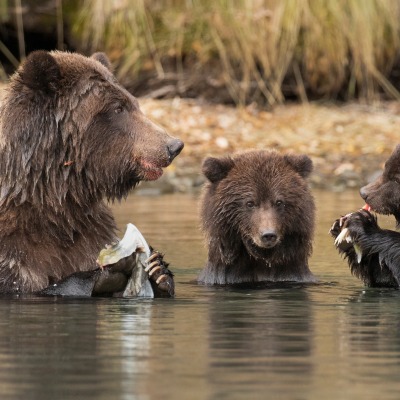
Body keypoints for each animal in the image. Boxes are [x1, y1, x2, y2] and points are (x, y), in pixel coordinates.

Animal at [0, 49, 184, 294]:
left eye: (134, 103)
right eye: (118, 107)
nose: (173, 145)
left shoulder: (88, 228)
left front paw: (158, 268)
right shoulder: (14, 251)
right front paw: (106, 271)